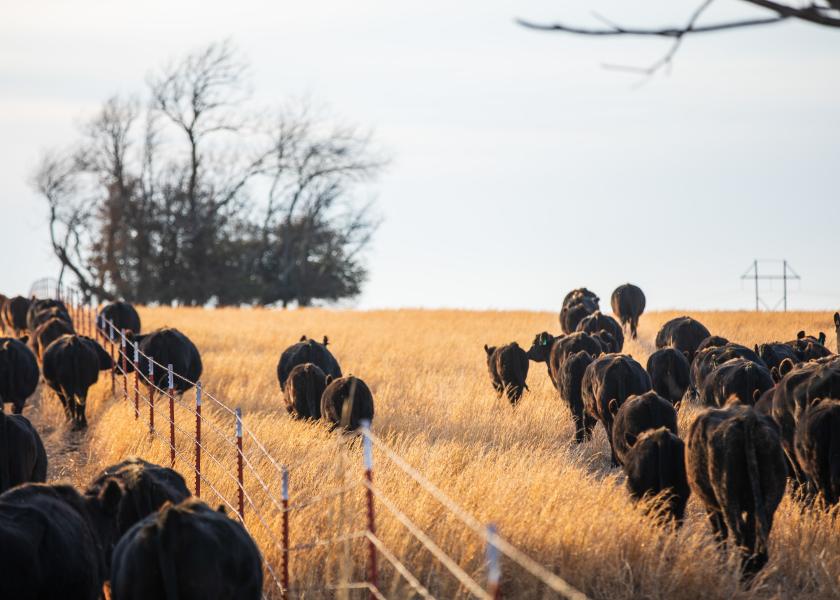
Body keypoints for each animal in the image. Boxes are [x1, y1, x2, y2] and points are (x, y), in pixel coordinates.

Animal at [684, 404, 792, 576]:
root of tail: (748, 420)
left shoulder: (711, 506)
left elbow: (720, 535)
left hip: (728, 500)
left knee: (740, 536)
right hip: (769, 501)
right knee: (758, 539)